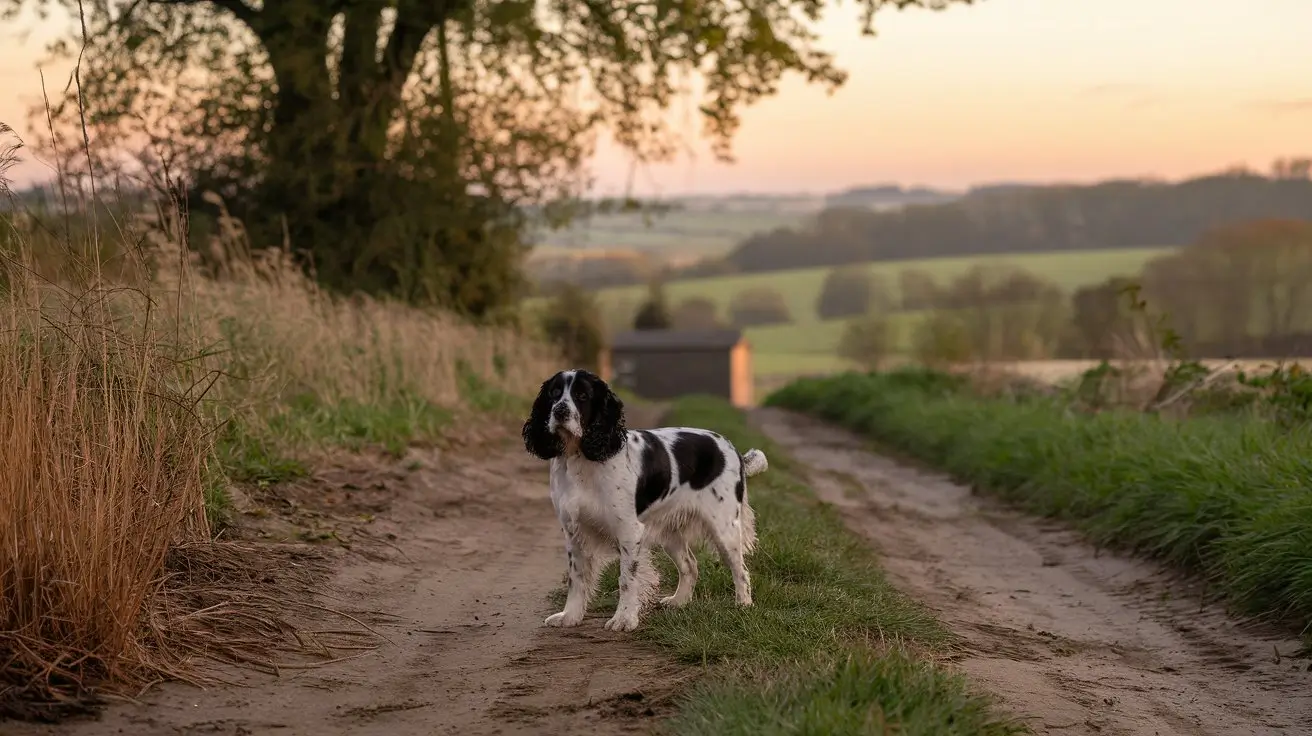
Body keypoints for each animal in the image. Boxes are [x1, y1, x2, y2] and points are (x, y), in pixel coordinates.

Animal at [522, 369, 766, 629]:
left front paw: (624, 619)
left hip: (724, 527)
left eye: (582, 395)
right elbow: (576, 578)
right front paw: (570, 616)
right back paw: (679, 601)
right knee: (690, 565)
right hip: (671, 531)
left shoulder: (629, 531)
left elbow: (626, 579)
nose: (559, 411)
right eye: (554, 393)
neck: (580, 457)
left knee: (740, 570)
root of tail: (733, 449)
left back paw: (743, 605)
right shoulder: (574, 530)